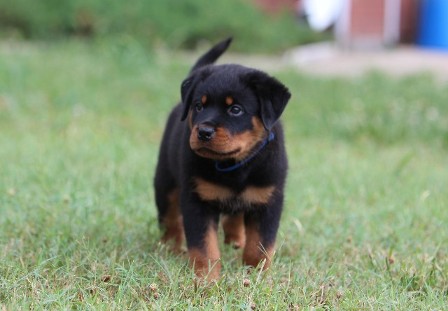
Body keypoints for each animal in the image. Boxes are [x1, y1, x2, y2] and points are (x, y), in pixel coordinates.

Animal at [154, 37, 292, 282]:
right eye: (198, 106)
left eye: (235, 109)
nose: (203, 131)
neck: (235, 166)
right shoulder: (197, 199)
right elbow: (204, 246)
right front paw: (205, 279)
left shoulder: (268, 199)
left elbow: (261, 245)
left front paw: (255, 277)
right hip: (165, 180)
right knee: (169, 215)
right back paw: (170, 245)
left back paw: (235, 238)